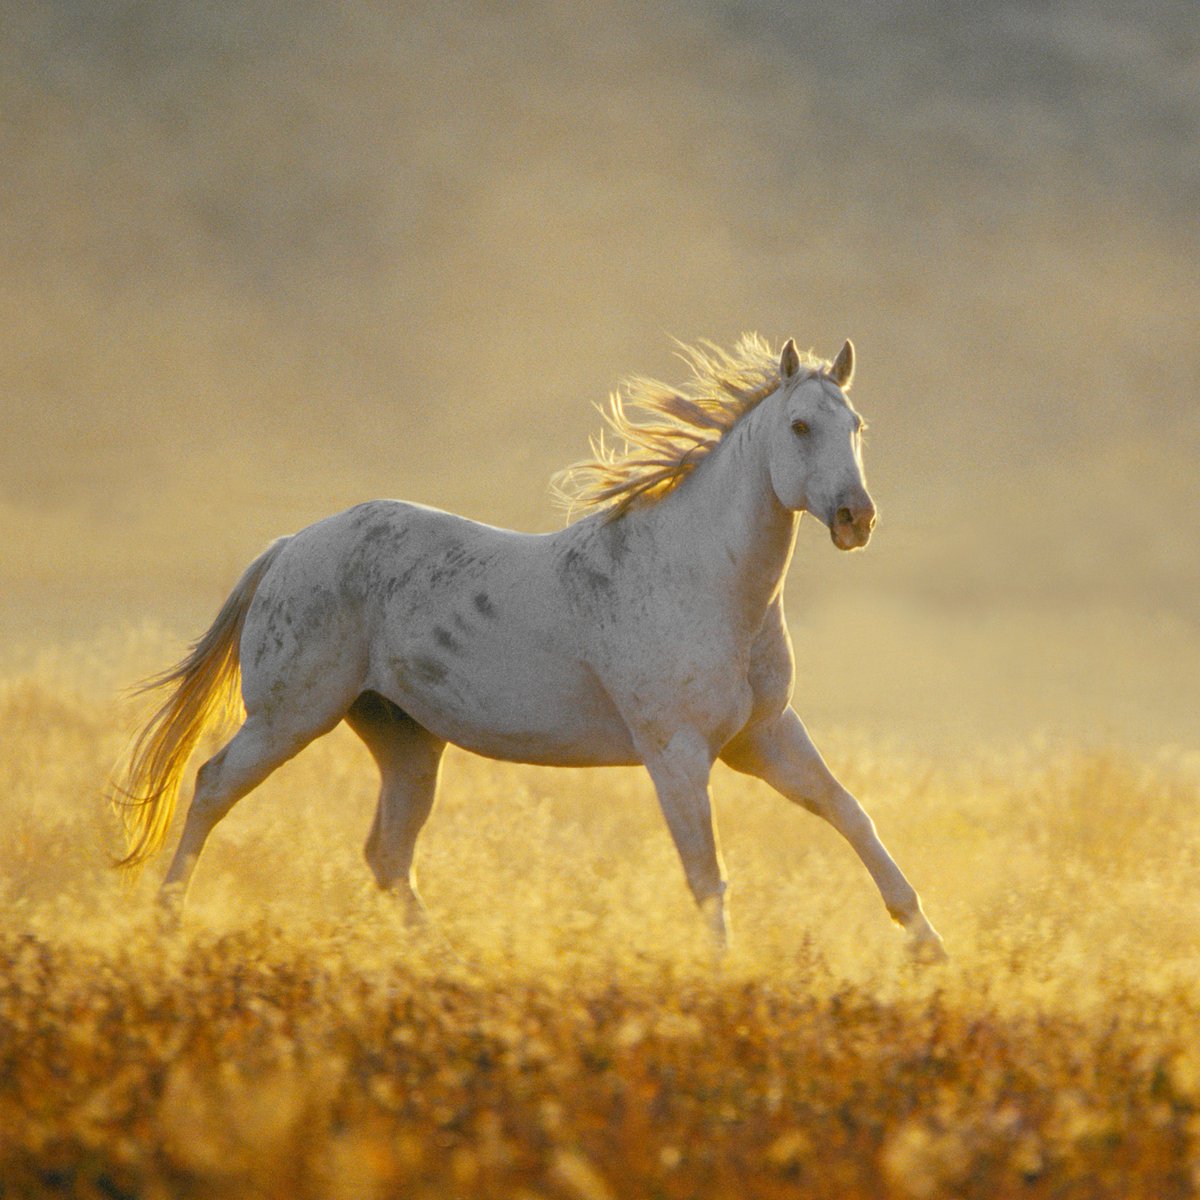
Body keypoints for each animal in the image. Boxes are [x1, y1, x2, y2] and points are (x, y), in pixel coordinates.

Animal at [114, 334, 946, 962]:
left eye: (857, 425)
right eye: (801, 426)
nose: (856, 518)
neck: (700, 581)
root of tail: (289, 546)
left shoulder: (764, 737)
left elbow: (850, 815)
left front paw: (928, 946)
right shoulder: (676, 752)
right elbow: (707, 873)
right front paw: (724, 976)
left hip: (406, 741)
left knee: (387, 856)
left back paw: (446, 962)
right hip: (291, 716)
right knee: (212, 787)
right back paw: (165, 925)